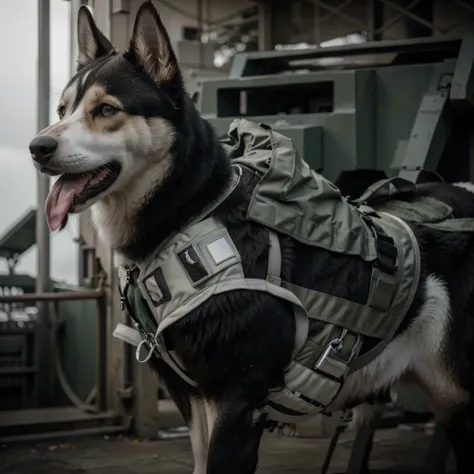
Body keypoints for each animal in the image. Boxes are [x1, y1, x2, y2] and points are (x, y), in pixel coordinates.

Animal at [27, 1, 474, 472]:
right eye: (62, 111)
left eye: (107, 110)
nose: (37, 148)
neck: (190, 213)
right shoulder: (194, 398)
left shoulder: (237, 401)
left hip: (458, 396)